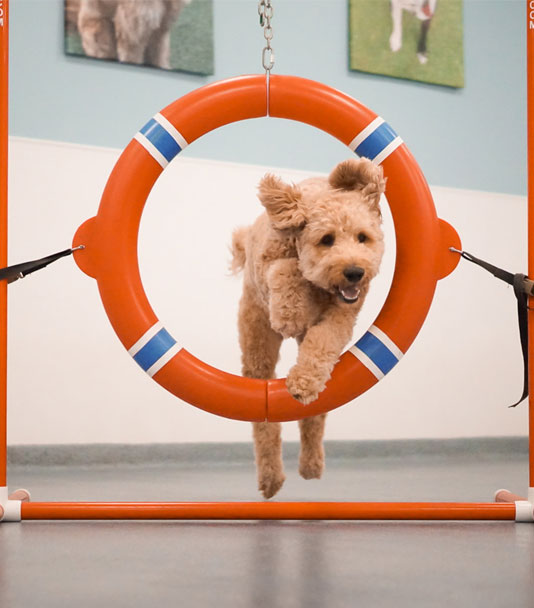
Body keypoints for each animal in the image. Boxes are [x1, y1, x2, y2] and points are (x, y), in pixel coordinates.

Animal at [232, 158, 388, 498]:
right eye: (326, 239)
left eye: (362, 237)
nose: (355, 272)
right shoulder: (271, 264)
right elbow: (285, 269)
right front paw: (289, 312)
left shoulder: (342, 315)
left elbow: (324, 340)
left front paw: (303, 382)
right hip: (257, 343)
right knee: (264, 422)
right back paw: (271, 479)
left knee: (315, 414)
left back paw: (311, 464)